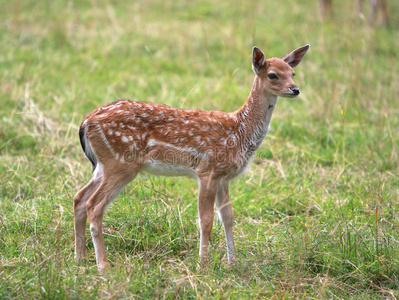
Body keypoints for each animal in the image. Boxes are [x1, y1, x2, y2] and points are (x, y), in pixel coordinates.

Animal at [73, 44, 310, 270]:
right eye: (272, 75)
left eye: (292, 73)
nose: (295, 89)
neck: (240, 130)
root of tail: (85, 122)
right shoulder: (208, 170)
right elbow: (206, 220)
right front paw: (202, 265)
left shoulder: (224, 177)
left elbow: (228, 217)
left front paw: (232, 263)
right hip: (121, 162)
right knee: (94, 205)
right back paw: (103, 265)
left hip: (103, 165)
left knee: (79, 198)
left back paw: (80, 259)